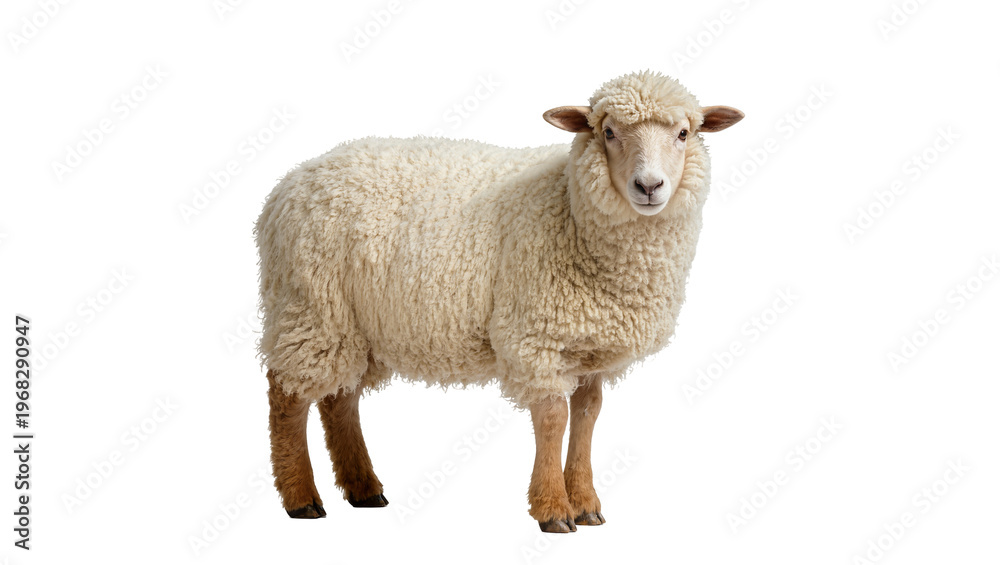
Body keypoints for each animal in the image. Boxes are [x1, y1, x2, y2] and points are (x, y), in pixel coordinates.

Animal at [255, 70, 743, 531]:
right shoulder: (535, 336)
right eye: (607, 132)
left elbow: (587, 417)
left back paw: (363, 488)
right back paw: (300, 497)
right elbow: (553, 419)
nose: (649, 186)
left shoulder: (589, 347)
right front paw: (553, 509)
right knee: (286, 396)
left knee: (340, 399)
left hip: (354, 325)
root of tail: (287, 184)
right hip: (309, 306)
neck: (568, 207)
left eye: (684, 134)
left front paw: (586, 504)